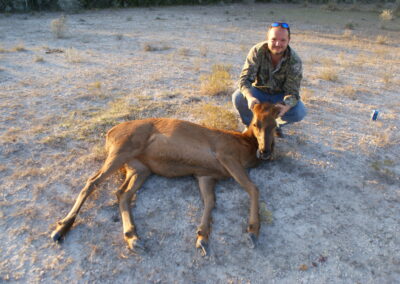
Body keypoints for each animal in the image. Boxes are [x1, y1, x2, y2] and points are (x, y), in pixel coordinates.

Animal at [51, 101, 280, 255]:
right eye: (256, 123)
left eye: (275, 124)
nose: (265, 151)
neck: (244, 146)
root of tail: (110, 132)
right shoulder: (226, 155)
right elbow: (253, 188)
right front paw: (252, 231)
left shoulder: (205, 175)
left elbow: (210, 201)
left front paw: (202, 237)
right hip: (121, 150)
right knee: (92, 181)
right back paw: (61, 228)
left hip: (140, 169)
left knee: (122, 193)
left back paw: (133, 238)